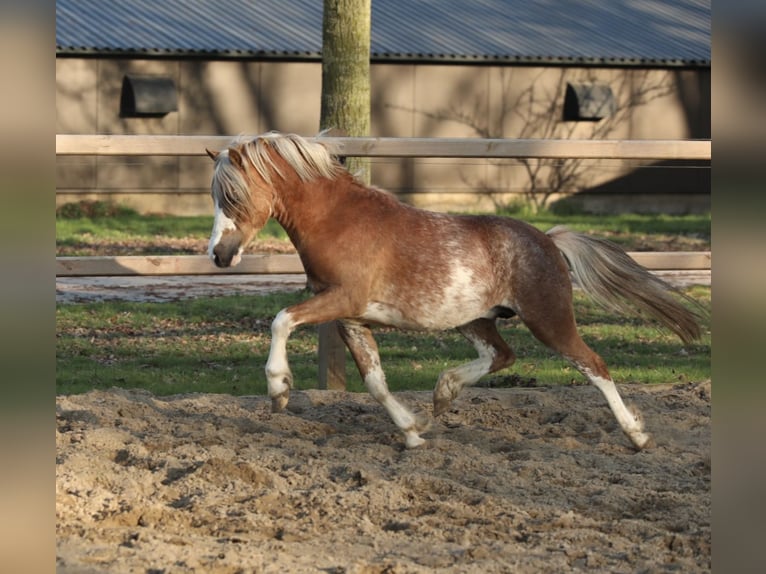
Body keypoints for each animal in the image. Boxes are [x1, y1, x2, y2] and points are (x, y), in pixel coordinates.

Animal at [206, 133, 708, 452]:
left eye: (234, 197)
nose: (219, 254)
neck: (338, 222)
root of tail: (548, 240)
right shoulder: (351, 317)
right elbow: (374, 382)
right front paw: (413, 431)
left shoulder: (341, 300)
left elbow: (282, 319)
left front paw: (279, 389)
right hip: (475, 319)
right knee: (502, 355)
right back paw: (444, 392)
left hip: (549, 319)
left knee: (594, 365)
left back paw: (637, 436)